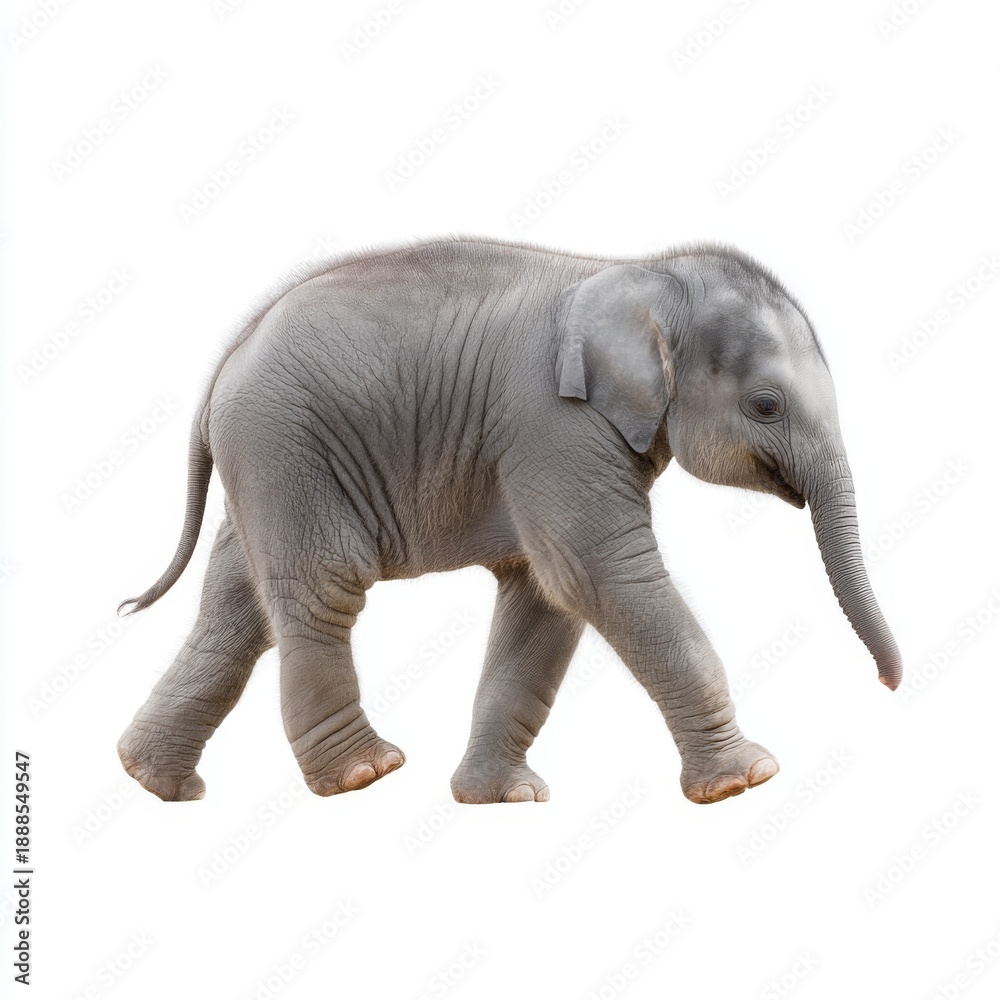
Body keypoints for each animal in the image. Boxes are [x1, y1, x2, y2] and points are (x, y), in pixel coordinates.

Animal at [117, 236, 902, 806]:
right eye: (766, 406)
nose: (889, 685)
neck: (639, 272)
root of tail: (227, 356)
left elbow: (545, 598)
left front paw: (505, 798)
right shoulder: (551, 425)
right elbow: (597, 574)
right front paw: (747, 780)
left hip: (267, 461)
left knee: (239, 605)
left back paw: (153, 780)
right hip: (283, 444)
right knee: (322, 586)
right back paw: (365, 775)